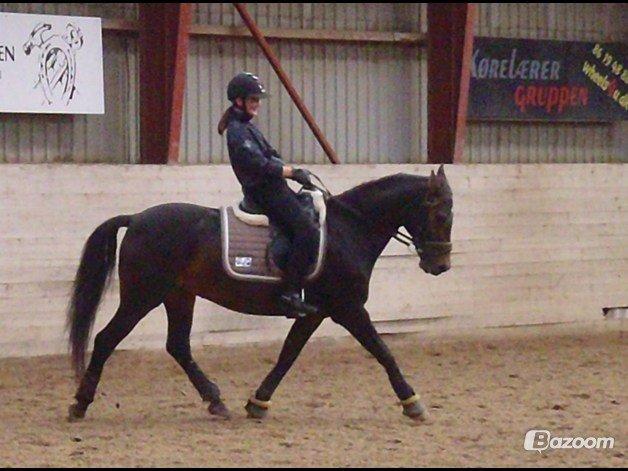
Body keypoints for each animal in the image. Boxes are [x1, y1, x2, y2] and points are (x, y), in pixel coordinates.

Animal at [67, 168, 452, 422]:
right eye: (440, 214)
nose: (441, 265)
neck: (349, 229)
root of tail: (135, 219)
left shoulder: (314, 312)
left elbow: (287, 355)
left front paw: (258, 402)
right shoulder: (348, 308)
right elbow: (383, 351)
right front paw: (412, 402)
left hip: (178, 296)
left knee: (177, 346)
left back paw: (215, 401)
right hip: (142, 296)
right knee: (106, 339)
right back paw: (80, 403)